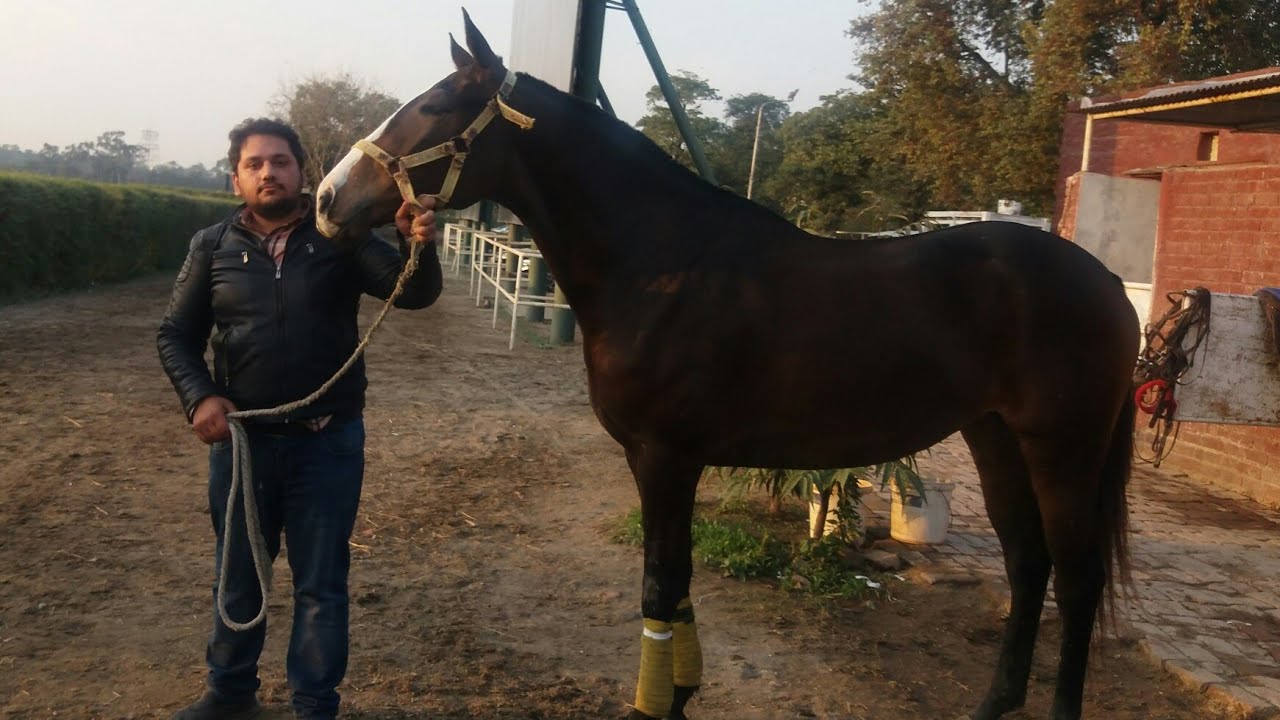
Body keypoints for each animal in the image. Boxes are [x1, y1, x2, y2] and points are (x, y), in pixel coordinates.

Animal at [314, 12, 1138, 720]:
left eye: (437, 105)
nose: (327, 199)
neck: (663, 265)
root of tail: (1104, 280)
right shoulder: (663, 460)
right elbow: (677, 585)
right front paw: (680, 694)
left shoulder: (665, 456)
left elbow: (659, 587)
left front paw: (656, 704)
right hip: (995, 437)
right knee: (1028, 564)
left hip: (1062, 447)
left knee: (1077, 578)